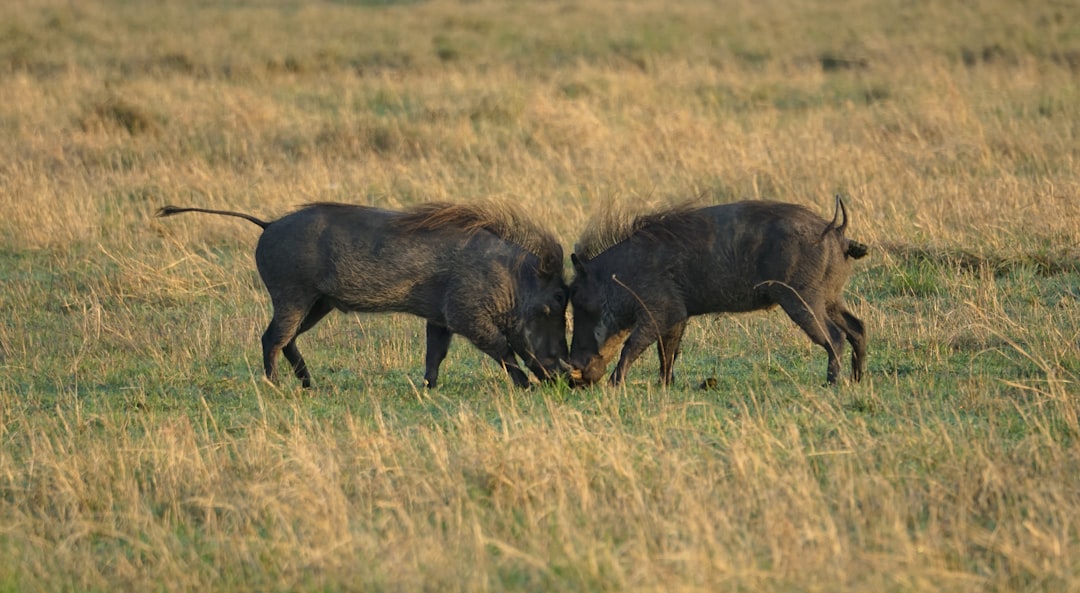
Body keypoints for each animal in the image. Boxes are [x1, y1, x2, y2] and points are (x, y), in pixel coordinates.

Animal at [156, 201, 569, 388]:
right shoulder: (466, 314)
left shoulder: (439, 319)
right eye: (554, 304)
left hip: (317, 304)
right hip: (292, 295)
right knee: (272, 338)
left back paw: (308, 384)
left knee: (288, 340)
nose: (568, 378)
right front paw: (525, 386)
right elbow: (502, 349)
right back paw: (275, 386)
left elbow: (435, 354)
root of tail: (268, 223)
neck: (512, 279)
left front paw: (428, 389)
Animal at [567, 195, 868, 387]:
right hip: (829, 298)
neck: (619, 275)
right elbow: (667, 352)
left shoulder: (660, 311)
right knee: (857, 328)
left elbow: (632, 346)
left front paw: (614, 386)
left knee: (835, 337)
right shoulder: (676, 315)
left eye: (579, 299)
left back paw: (831, 385)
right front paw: (665, 386)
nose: (573, 378)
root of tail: (836, 231)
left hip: (802, 299)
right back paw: (857, 379)